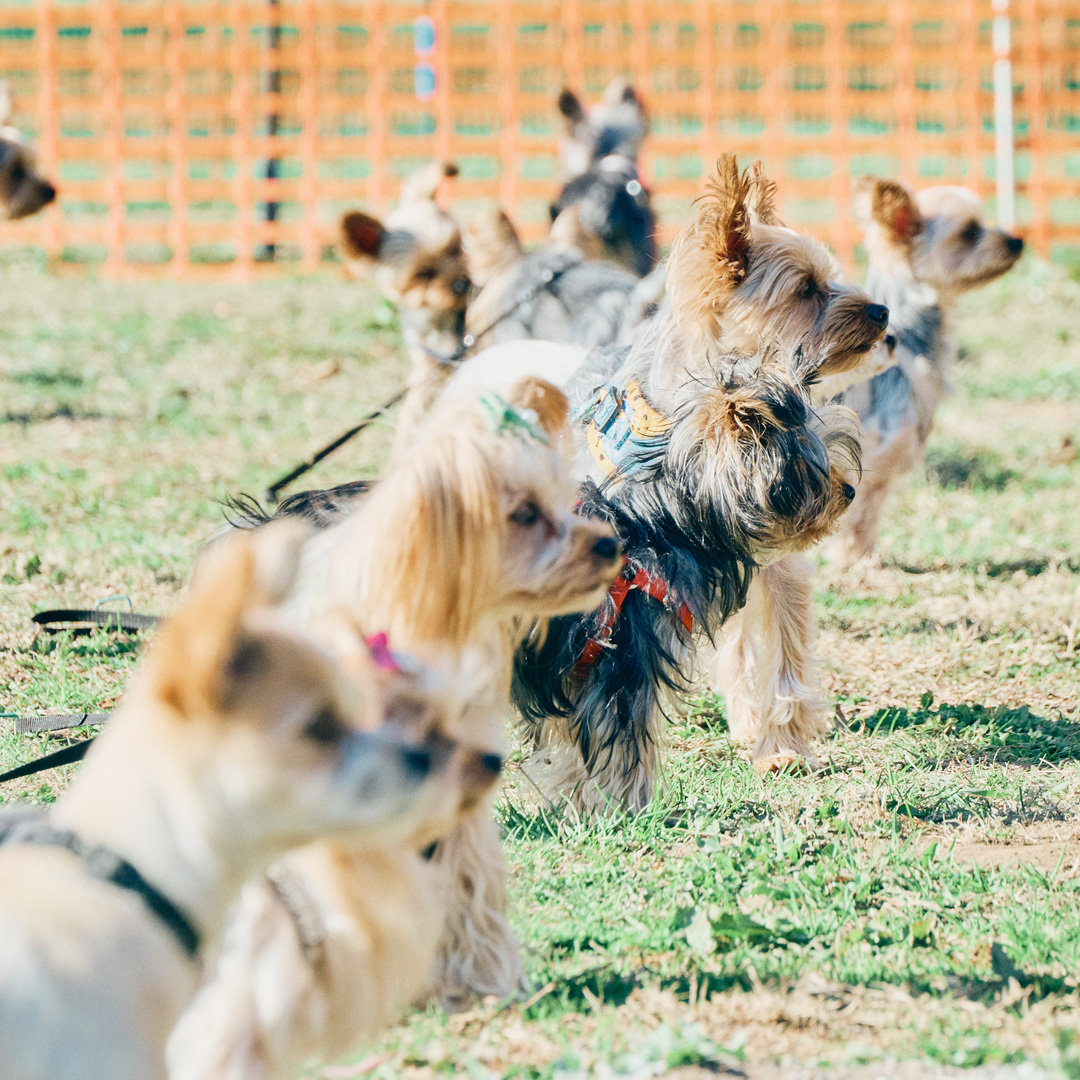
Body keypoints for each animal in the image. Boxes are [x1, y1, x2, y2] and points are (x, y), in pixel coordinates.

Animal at [829, 174, 1023, 565]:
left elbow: (871, 505)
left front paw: (862, 553)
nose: (1017, 240)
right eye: (970, 231)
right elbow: (858, 508)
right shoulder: (871, 446)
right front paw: (851, 558)